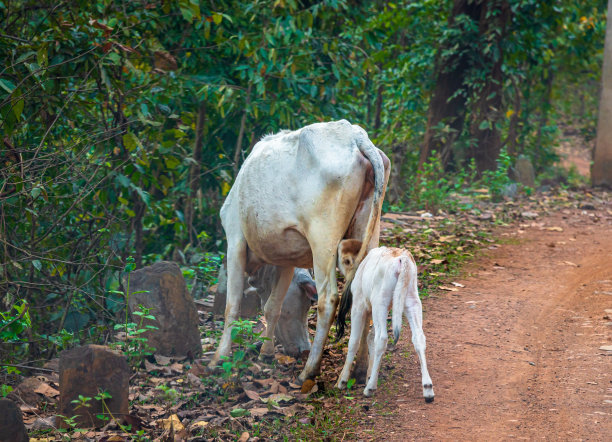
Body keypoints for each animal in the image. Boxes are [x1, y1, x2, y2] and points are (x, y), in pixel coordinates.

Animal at [213, 119, 390, 382]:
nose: (301, 349)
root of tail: (355, 136)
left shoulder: (235, 239)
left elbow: (232, 305)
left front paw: (219, 357)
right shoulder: (286, 259)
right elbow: (272, 307)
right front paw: (266, 352)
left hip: (323, 238)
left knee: (329, 299)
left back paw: (309, 370)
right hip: (368, 231)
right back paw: (360, 370)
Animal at [334, 240, 436, 402]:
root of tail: (402, 258)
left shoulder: (358, 305)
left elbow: (354, 341)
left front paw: (343, 380)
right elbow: (370, 338)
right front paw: (369, 375)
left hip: (379, 302)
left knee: (381, 338)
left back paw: (370, 388)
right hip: (411, 300)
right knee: (419, 338)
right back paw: (428, 389)